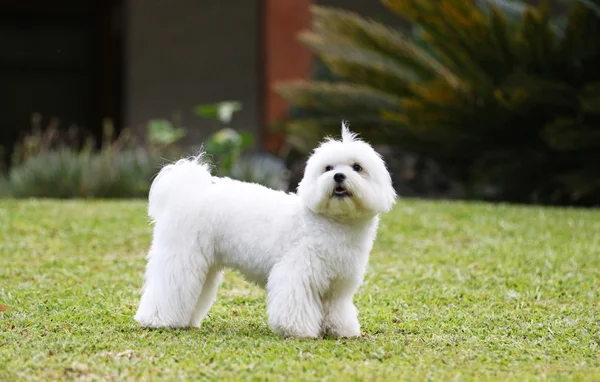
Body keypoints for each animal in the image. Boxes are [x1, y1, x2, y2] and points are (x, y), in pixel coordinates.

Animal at [136, 121, 398, 338]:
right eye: (328, 168)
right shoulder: (296, 272)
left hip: (204, 266)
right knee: (168, 287)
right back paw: (157, 320)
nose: (339, 176)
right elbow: (295, 303)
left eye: (357, 167)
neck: (332, 223)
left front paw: (341, 330)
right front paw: (298, 330)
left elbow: (337, 309)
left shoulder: (339, 284)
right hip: (180, 256)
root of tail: (186, 192)